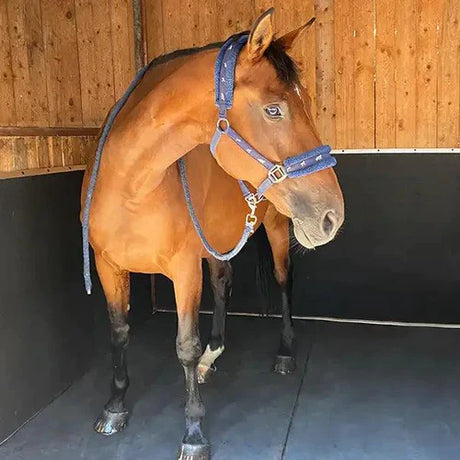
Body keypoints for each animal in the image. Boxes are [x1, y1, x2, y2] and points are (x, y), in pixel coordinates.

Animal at [81, 9, 344, 458]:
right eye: (274, 110)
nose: (333, 215)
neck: (131, 184)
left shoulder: (184, 270)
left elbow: (184, 346)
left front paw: (193, 433)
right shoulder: (108, 266)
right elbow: (119, 333)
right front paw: (114, 407)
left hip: (276, 228)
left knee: (283, 280)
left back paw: (284, 353)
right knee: (223, 283)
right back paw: (213, 354)